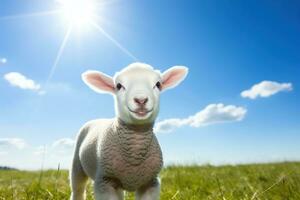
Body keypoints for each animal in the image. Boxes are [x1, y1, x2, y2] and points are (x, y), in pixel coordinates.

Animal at [69, 63, 189, 200]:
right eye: (118, 86)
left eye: (158, 84)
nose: (141, 100)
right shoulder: (104, 182)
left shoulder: (151, 182)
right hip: (77, 165)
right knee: (78, 189)